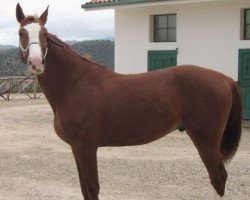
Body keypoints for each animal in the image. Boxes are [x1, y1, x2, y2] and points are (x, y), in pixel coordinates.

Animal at [16, 3, 242, 199]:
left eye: (44, 33)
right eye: (21, 33)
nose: (36, 63)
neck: (75, 84)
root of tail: (223, 77)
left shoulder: (87, 148)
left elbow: (92, 188)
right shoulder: (76, 148)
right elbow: (84, 189)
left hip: (207, 140)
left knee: (218, 178)